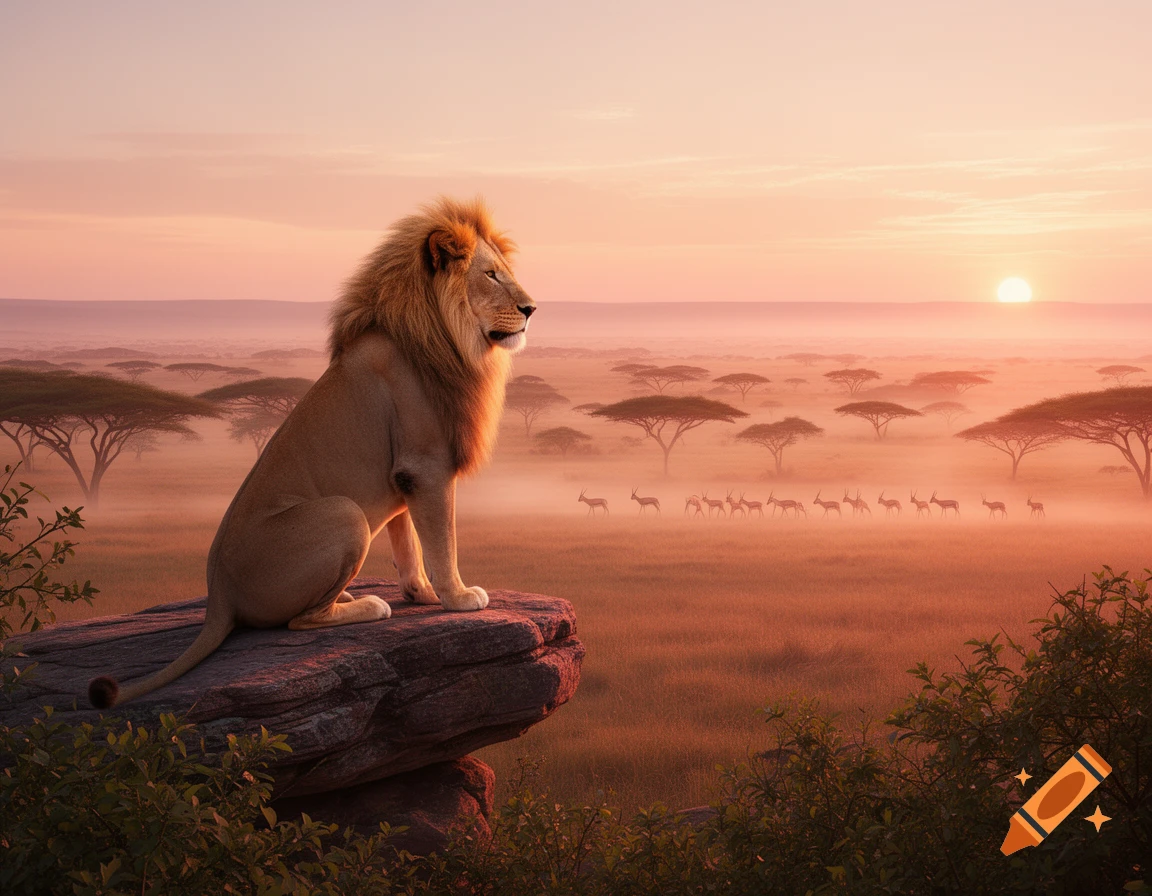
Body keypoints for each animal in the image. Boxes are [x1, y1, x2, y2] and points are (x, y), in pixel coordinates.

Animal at [88, 197, 535, 708]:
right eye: (491, 275)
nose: (531, 308)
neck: (447, 336)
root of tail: (218, 596)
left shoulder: (403, 475)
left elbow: (408, 543)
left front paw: (419, 593)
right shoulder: (426, 465)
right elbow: (443, 542)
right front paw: (458, 598)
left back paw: (350, 597)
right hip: (344, 513)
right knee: (298, 620)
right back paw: (367, 604)